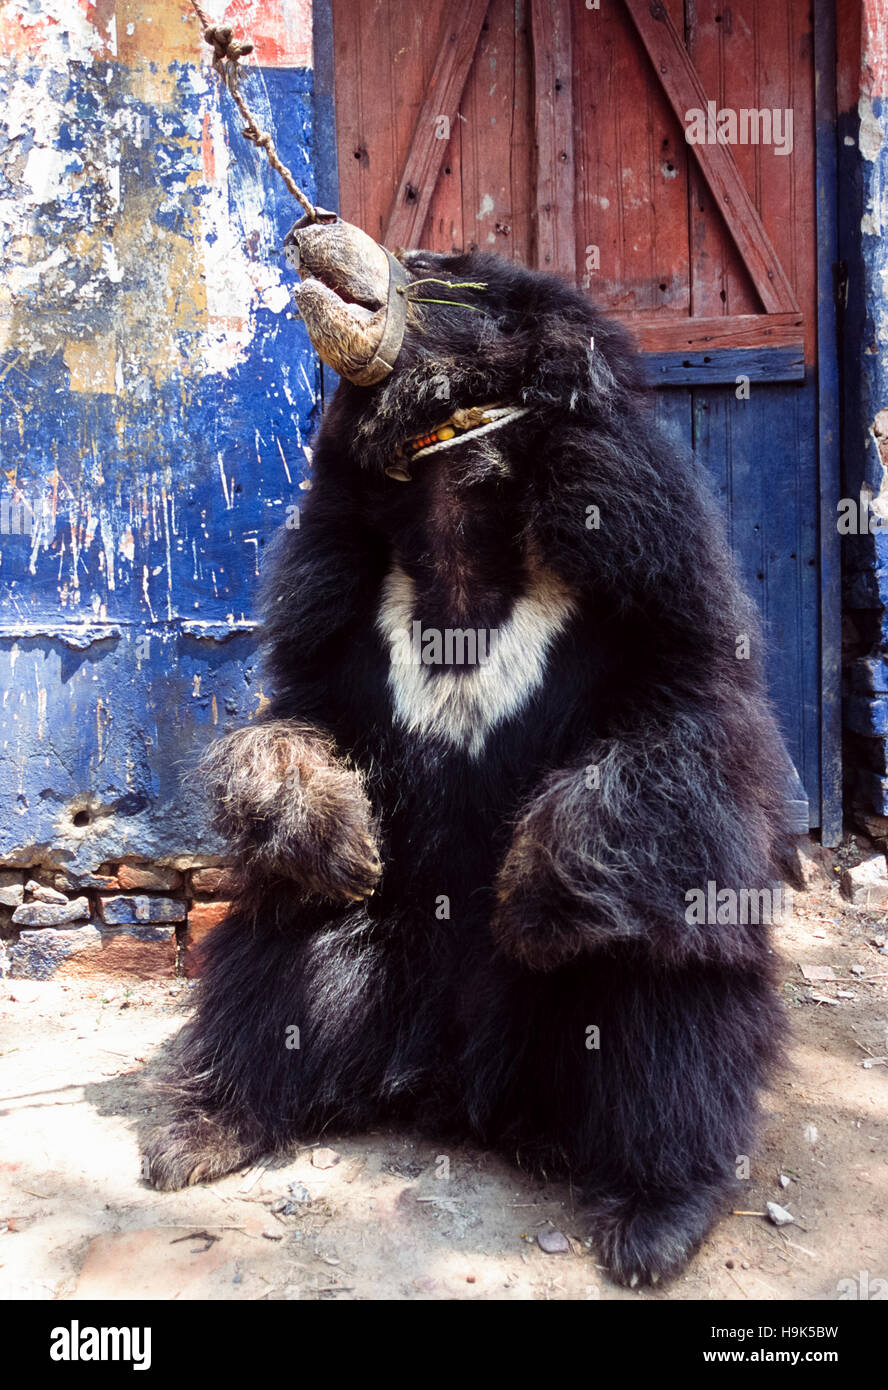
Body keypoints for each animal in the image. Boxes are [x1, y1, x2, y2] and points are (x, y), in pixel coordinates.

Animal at [145, 211, 789, 1284]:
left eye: (434, 267)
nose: (312, 227)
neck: (456, 500)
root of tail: (458, 1089)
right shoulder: (336, 587)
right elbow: (300, 718)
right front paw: (335, 831)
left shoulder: (646, 550)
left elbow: (691, 728)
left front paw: (529, 895)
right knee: (277, 949)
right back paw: (205, 1129)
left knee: (670, 995)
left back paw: (655, 1215)